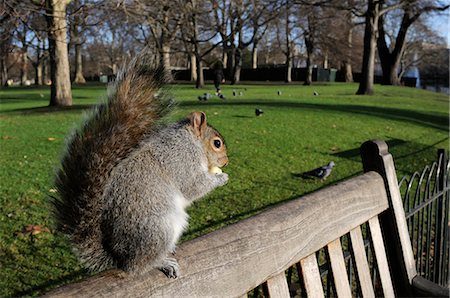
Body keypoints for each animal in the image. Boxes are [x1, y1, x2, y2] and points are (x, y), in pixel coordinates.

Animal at [51, 52, 229, 278]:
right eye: (217, 143)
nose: (226, 161)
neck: (191, 141)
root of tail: (118, 256)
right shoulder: (181, 159)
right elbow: (192, 186)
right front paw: (221, 178)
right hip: (158, 228)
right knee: (137, 267)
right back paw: (161, 262)